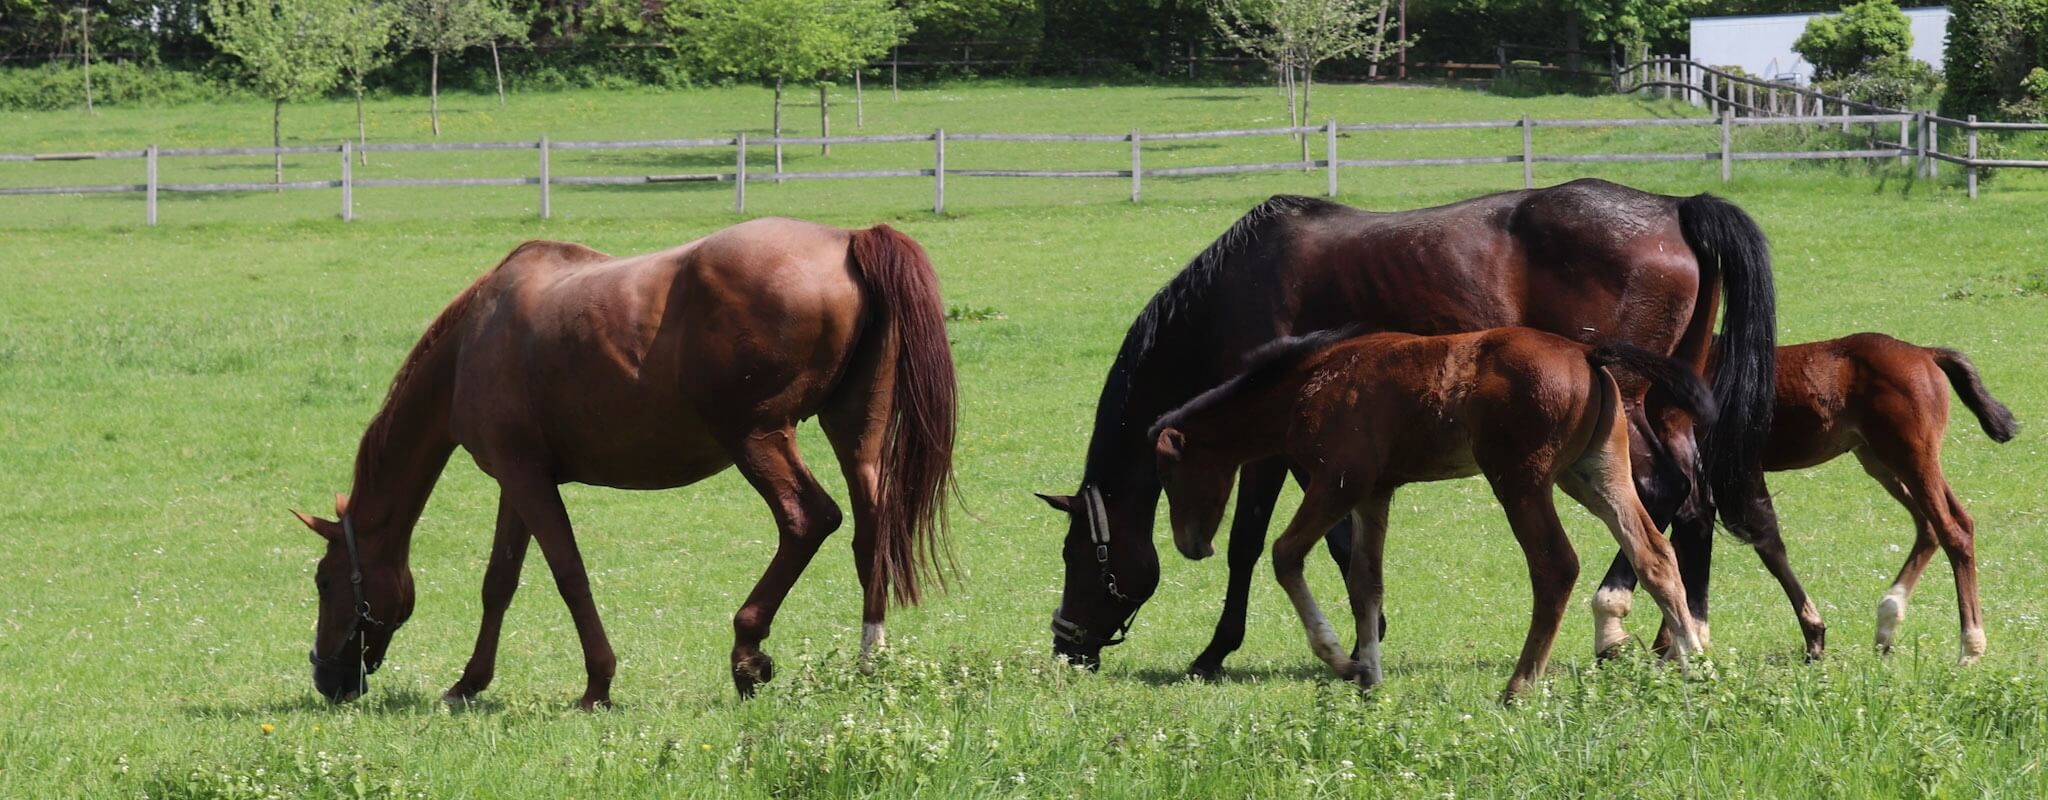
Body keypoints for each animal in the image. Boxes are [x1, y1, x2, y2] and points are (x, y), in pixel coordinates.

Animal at [289, 218, 957, 706]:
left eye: (325, 581)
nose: (326, 678)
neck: (471, 344)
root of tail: (848, 238)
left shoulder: (527, 480)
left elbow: (569, 575)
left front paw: (597, 685)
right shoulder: (518, 480)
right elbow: (499, 583)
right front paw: (468, 683)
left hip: (758, 439)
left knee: (809, 520)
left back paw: (747, 653)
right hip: (855, 435)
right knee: (872, 531)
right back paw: (870, 660)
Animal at [1149, 327, 1716, 700]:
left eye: (1169, 473)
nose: (1191, 545)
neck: (1309, 383)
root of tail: (1585, 350)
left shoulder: (1338, 484)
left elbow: (1286, 555)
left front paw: (1341, 660)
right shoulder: (1373, 494)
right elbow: (1365, 583)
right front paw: (1369, 679)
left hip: (1521, 481)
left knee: (1556, 566)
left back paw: (1518, 686)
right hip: (1595, 473)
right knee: (1653, 554)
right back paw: (1696, 664)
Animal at [1589, 333, 2018, 663]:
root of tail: (1925, 353)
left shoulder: (1715, 472)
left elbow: (1738, 540)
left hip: (1911, 457)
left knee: (1953, 528)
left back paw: (1969, 648)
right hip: (1880, 461)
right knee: (1930, 525)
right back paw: (1887, 623)